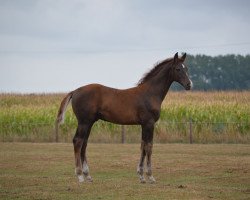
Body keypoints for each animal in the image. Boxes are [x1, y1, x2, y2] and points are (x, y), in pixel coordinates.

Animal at [55, 52, 191, 184]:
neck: (150, 93)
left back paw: (88, 175)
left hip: (89, 123)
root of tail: (75, 91)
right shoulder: (149, 123)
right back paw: (80, 176)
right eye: (178, 69)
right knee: (78, 141)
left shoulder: (144, 124)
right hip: (84, 122)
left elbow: (143, 146)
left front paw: (141, 176)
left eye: (186, 68)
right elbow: (149, 146)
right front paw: (150, 176)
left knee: (84, 143)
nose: (189, 84)